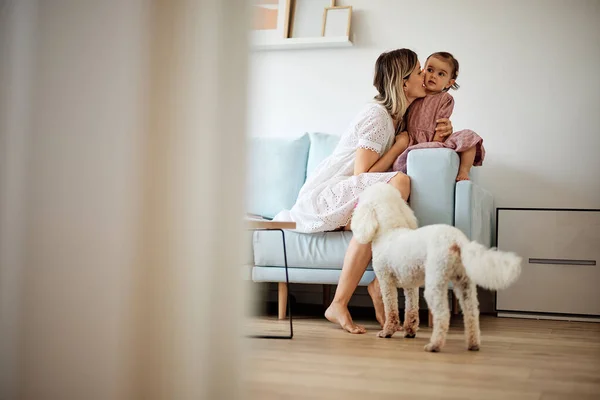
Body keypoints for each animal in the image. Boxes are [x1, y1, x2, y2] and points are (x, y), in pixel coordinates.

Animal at [352, 183, 520, 352]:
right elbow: (411, 308)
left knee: (443, 314)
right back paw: (473, 343)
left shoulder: (386, 280)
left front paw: (387, 331)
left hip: (435, 279)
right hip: (464, 281)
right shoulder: (410, 283)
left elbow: (391, 309)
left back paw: (434, 345)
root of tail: (457, 240)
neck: (389, 230)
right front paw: (410, 331)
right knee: (471, 312)